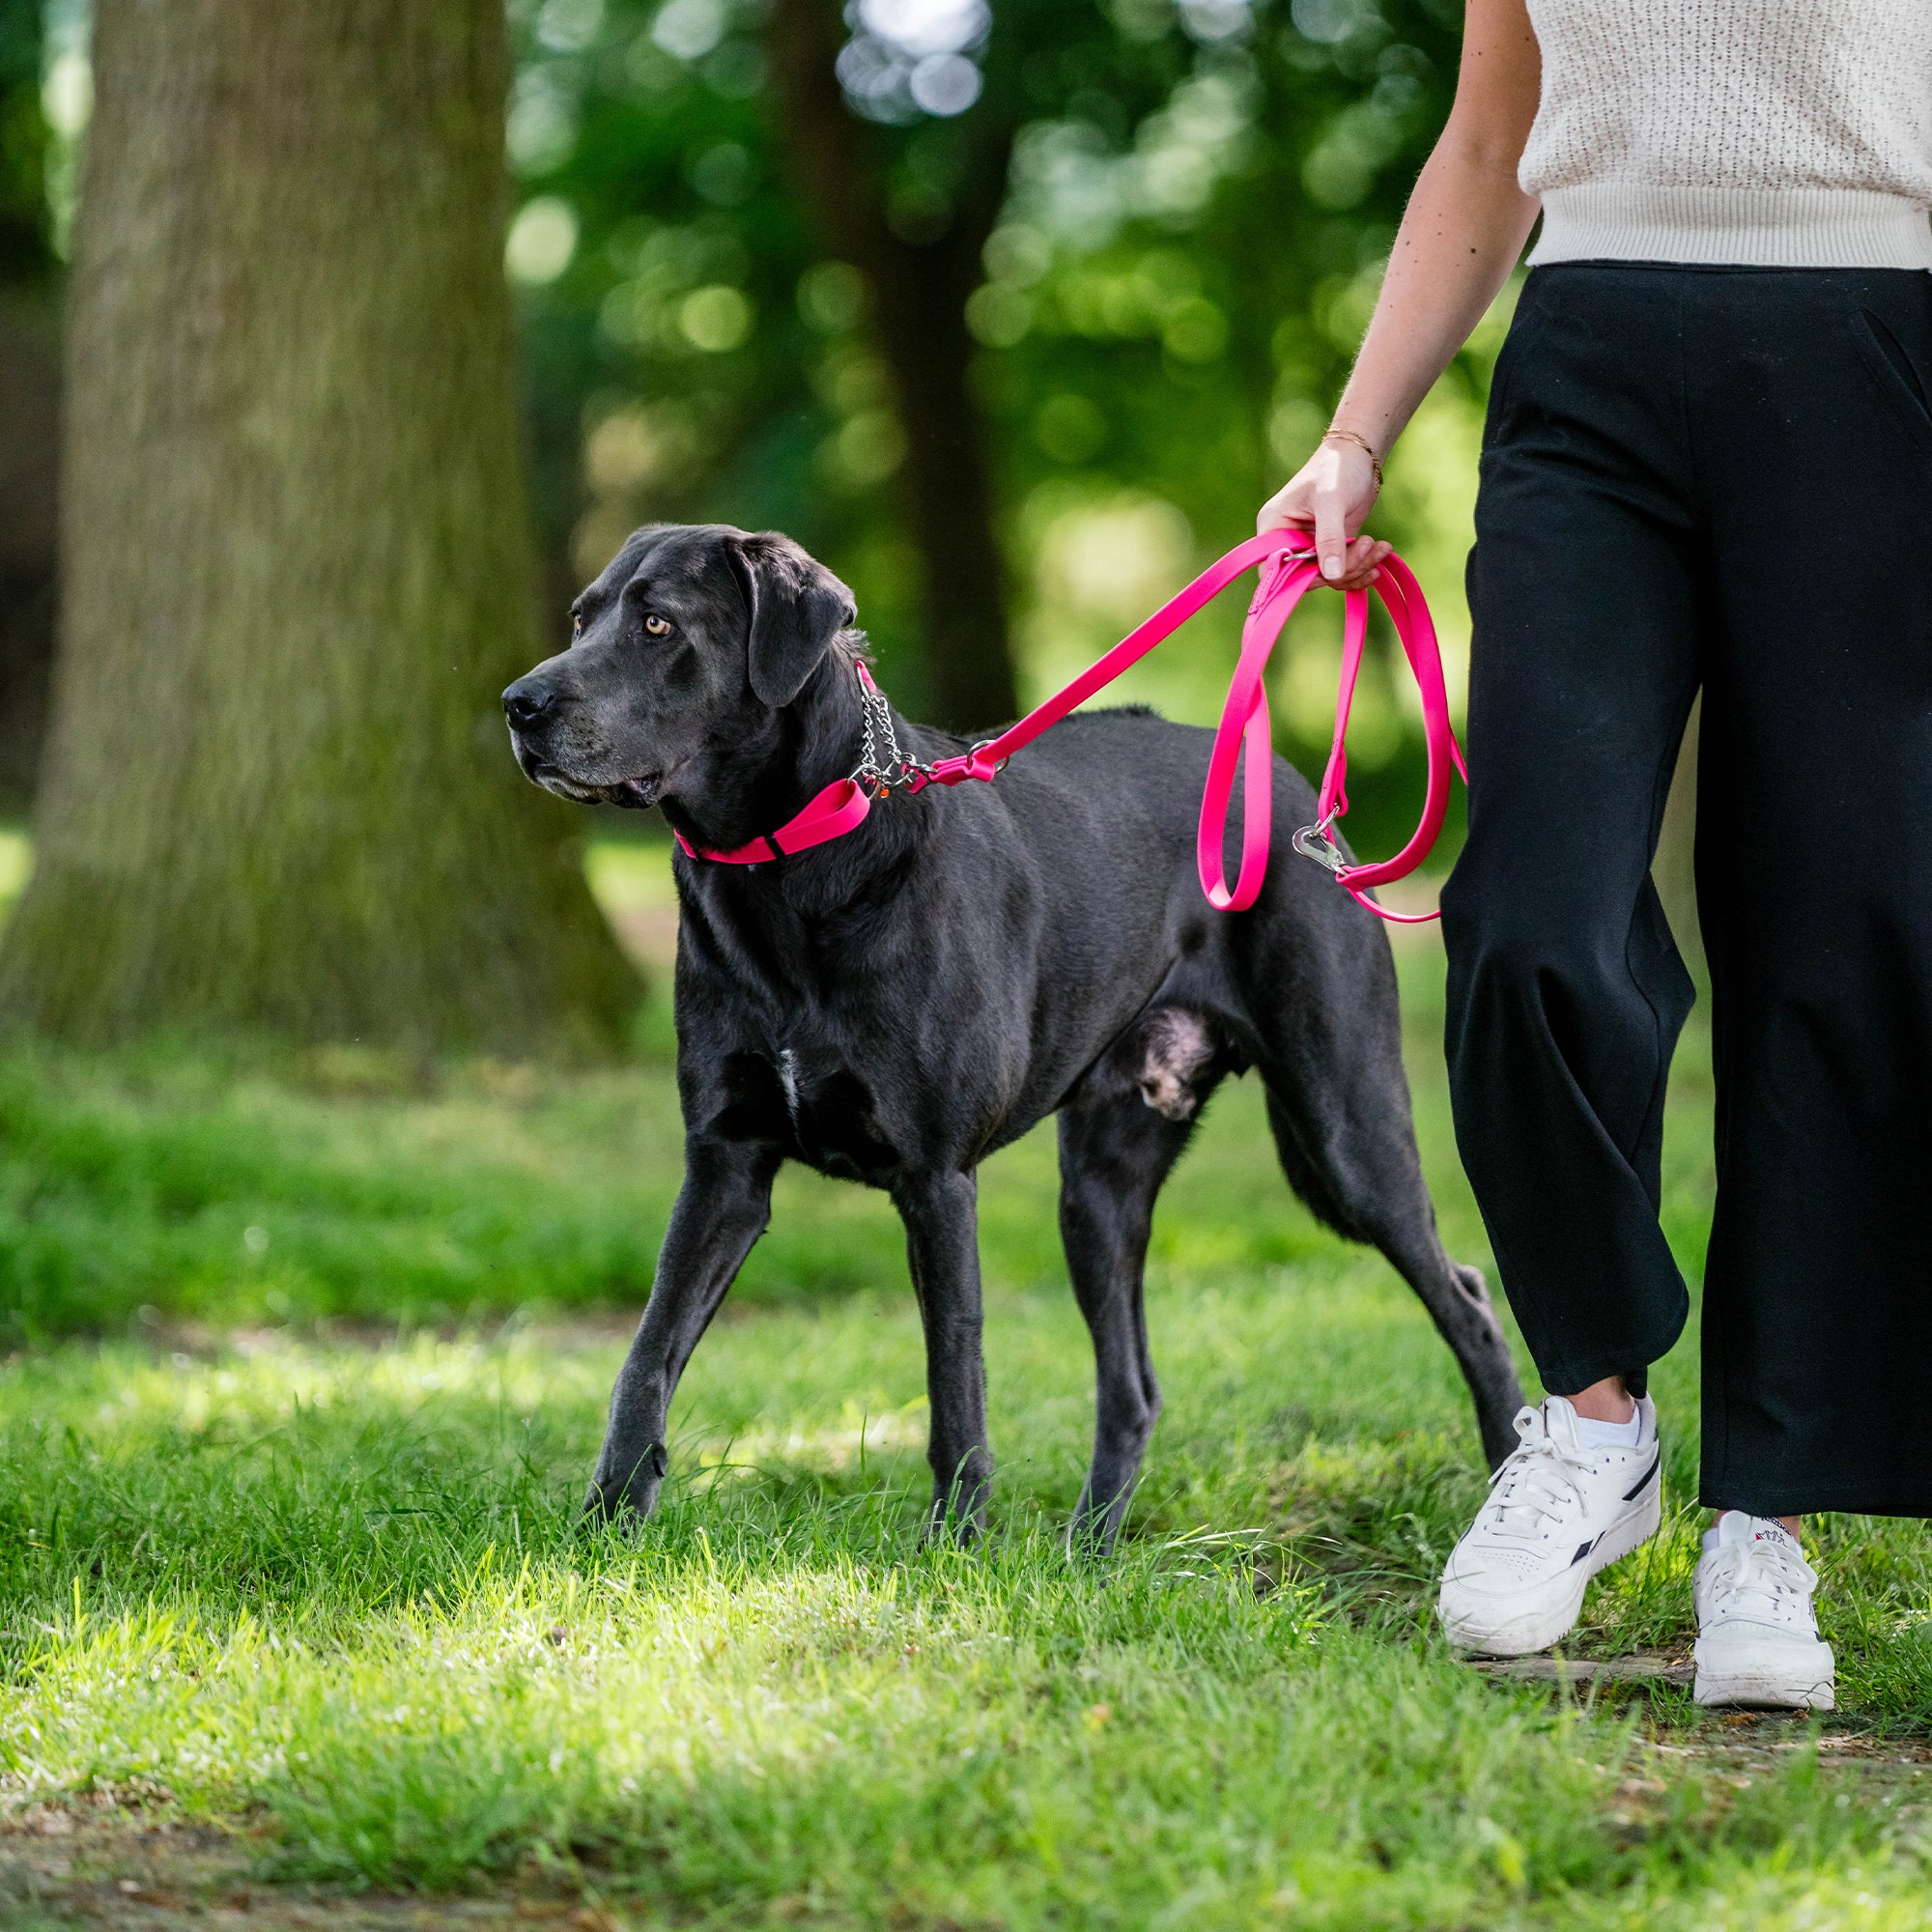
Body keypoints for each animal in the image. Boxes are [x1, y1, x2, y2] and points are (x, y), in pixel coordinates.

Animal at [510, 522, 1522, 1546]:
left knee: (1469, 1299)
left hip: (1346, 1130)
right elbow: (649, 1348)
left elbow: (954, 1377)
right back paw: (1089, 1549)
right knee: (1133, 1385)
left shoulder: (935, 1179)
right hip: (1101, 1183)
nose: (520, 704)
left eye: (657, 624)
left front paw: (953, 1546)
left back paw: (1502, 1474)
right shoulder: (725, 1164)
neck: (784, 871)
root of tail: (1290, 787)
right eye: (582, 619)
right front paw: (604, 1527)